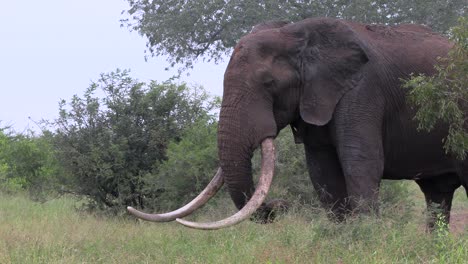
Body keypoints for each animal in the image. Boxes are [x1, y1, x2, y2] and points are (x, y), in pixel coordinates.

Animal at [129, 17, 468, 230]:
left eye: (269, 84)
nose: (279, 205)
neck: (296, 34)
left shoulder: (362, 90)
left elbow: (361, 163)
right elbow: (322, 172)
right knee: (437, 196)